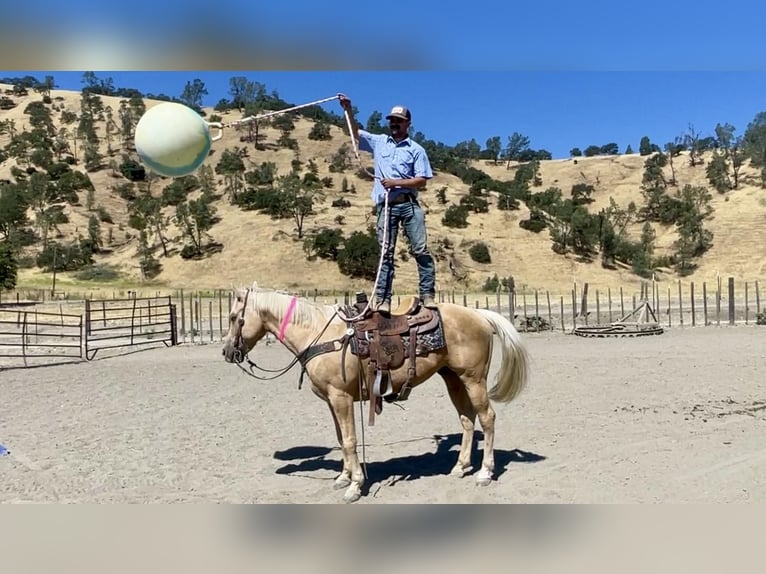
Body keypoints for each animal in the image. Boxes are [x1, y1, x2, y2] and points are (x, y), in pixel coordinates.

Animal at [220, 288, 528, 504]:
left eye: (234, 317)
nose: (227, 351)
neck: (319, 334)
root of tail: (479, 315)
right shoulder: (332, 401)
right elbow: (340, 440)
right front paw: (343, 477)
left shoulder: (342, 398)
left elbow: (350, 441)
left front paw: (355, 485)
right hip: (453, 378)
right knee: (467, 419)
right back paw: (460, 466)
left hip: (473, 379)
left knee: (487, 418)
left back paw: (485, 472)